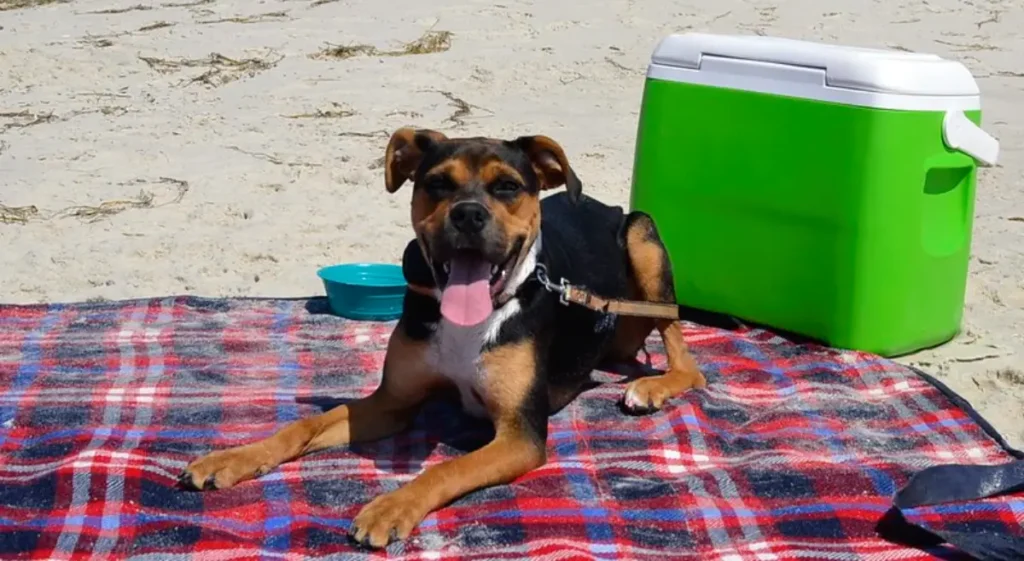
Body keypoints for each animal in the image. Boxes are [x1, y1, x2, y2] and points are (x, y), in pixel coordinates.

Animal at [180, 126, 708, 548]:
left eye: (507, 186)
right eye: (437, 183)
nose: (469, 215)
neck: (473, 318)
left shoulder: (520, 434)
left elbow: (446, 467)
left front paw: (390, 507)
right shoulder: (391, 402)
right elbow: (305, 426)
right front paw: (234, 458)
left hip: (643, 237)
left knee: (688, 358)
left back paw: (651, 388)